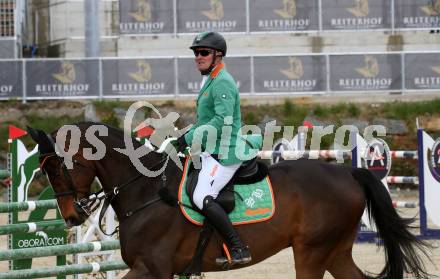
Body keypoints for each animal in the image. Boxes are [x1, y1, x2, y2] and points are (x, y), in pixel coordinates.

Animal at [25, 123, 428, 279]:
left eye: (60, 168)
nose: (71, 217)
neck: (146, 192)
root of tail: (348, 173)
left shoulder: (152, 267)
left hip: (312, 252)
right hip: (336, 251)